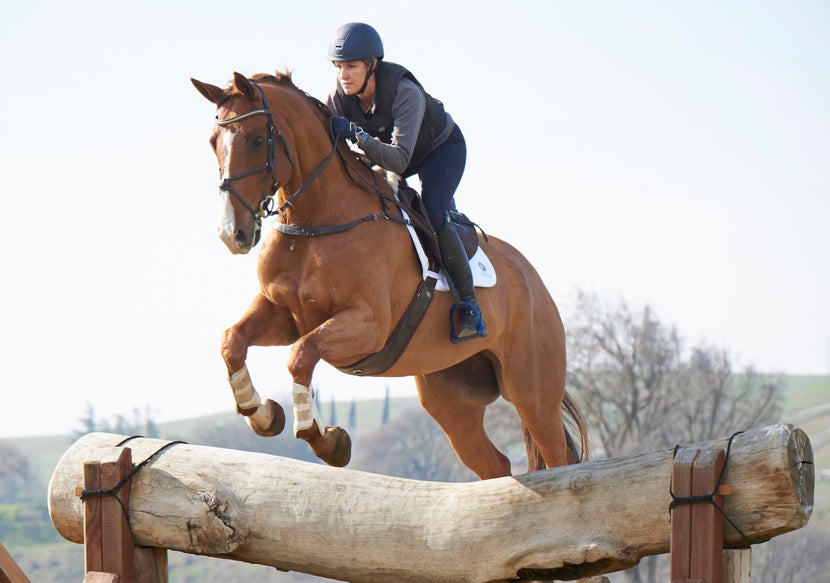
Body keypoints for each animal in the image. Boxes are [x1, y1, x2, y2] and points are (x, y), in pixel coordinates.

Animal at [190, 70, 592, 480]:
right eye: (213, 143)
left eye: (257, 140)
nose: (232, 234)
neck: (316, 220)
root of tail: (532, 278)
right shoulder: (284, 315)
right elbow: (233, 341)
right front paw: (263, 415)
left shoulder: (368, 325)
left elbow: (301, 355)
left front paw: (328, 442)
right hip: (450, 396)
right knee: (495, 464)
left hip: (531, 389)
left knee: (556, 454)